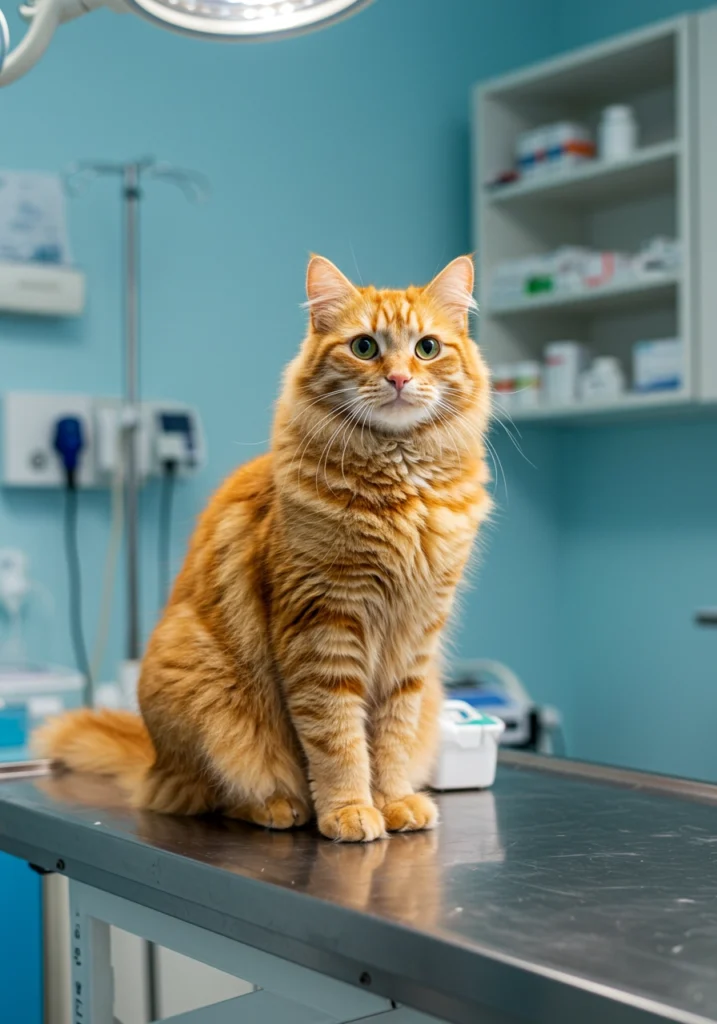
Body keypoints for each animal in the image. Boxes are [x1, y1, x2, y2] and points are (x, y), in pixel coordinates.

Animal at [37, 253, 493, 839]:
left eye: (427, 348)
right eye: (365, 347)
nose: (398, 377)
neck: (400, 492)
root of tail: (154, 761)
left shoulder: (413, 640)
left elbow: (391, 739)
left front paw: (393, 801)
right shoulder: (323, 626)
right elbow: (338, 741)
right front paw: (349, 809)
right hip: (205, 687)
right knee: (216, 793)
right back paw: (280, 806)